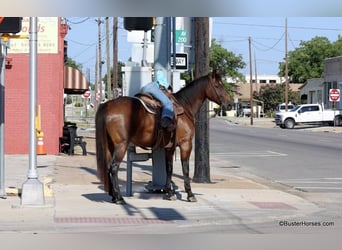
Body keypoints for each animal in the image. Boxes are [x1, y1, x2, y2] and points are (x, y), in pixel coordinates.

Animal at [95, 69, 231, 204]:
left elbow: (169, 169)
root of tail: (107, 106)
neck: (185, 106)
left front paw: (169, 193)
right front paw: (190, 194)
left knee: (108, 167)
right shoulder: (186, 144)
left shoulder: (170, 147)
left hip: (110, 145)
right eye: (218, 86)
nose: (229, 104)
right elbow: (185, 168)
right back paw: (119, 198)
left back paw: (113, 196)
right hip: (121, 145)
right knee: (113, 168)